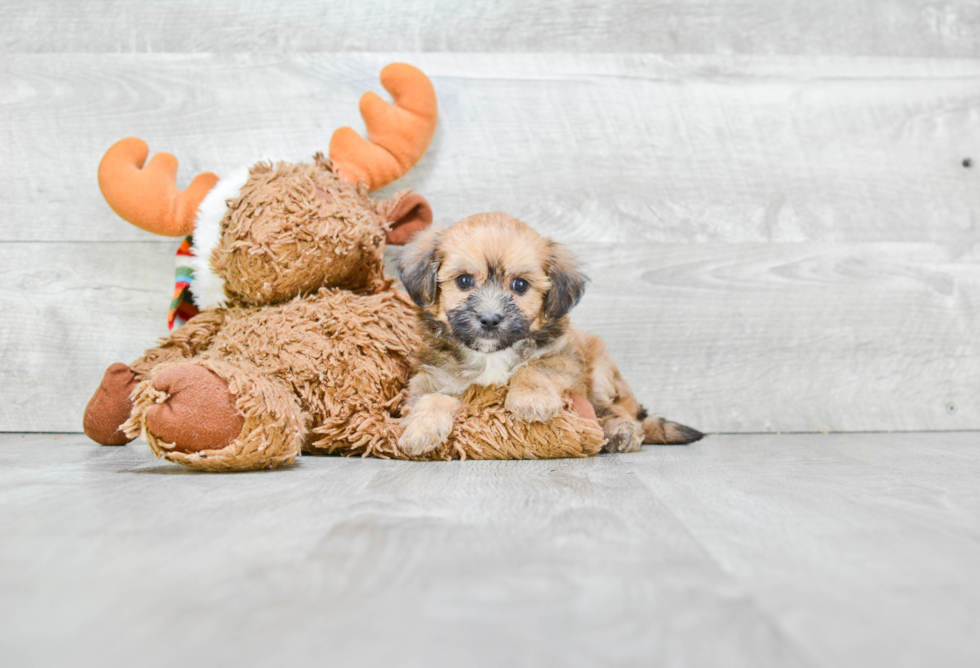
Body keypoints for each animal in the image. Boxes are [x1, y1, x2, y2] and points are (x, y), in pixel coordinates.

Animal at [394, 211, 700, 456]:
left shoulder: (565, 357)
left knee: (616, 410)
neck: (491, 355)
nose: (490, 319)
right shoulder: (432, 376)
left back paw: (620, 431)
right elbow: (430, 398)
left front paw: (531, 400)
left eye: (520, 285)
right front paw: (421, 429)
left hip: (600, 370)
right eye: (464, 281)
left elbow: (536, 367)